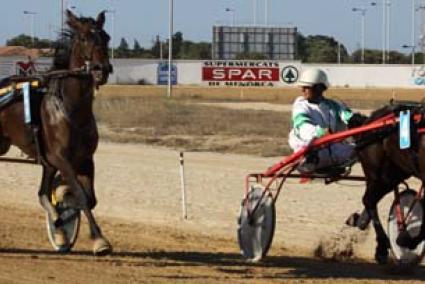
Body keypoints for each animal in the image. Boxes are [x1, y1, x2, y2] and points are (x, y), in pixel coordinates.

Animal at [0, 10, 112, 254]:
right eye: (83, 38)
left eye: (106, 37)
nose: (102, 69)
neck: (70, 109)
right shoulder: (61, 158)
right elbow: (80, 195)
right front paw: (99, 239)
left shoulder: (84, 159)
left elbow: (89, 199)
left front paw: (62, 220)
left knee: (42, 193)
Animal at [346, 105, 424, 264]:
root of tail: (369, 120)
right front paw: (407, 240)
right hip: (376, 172)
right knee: (369, 200)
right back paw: (382, 246)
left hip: (393, 174)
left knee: (371, 199)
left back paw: (361, 221)